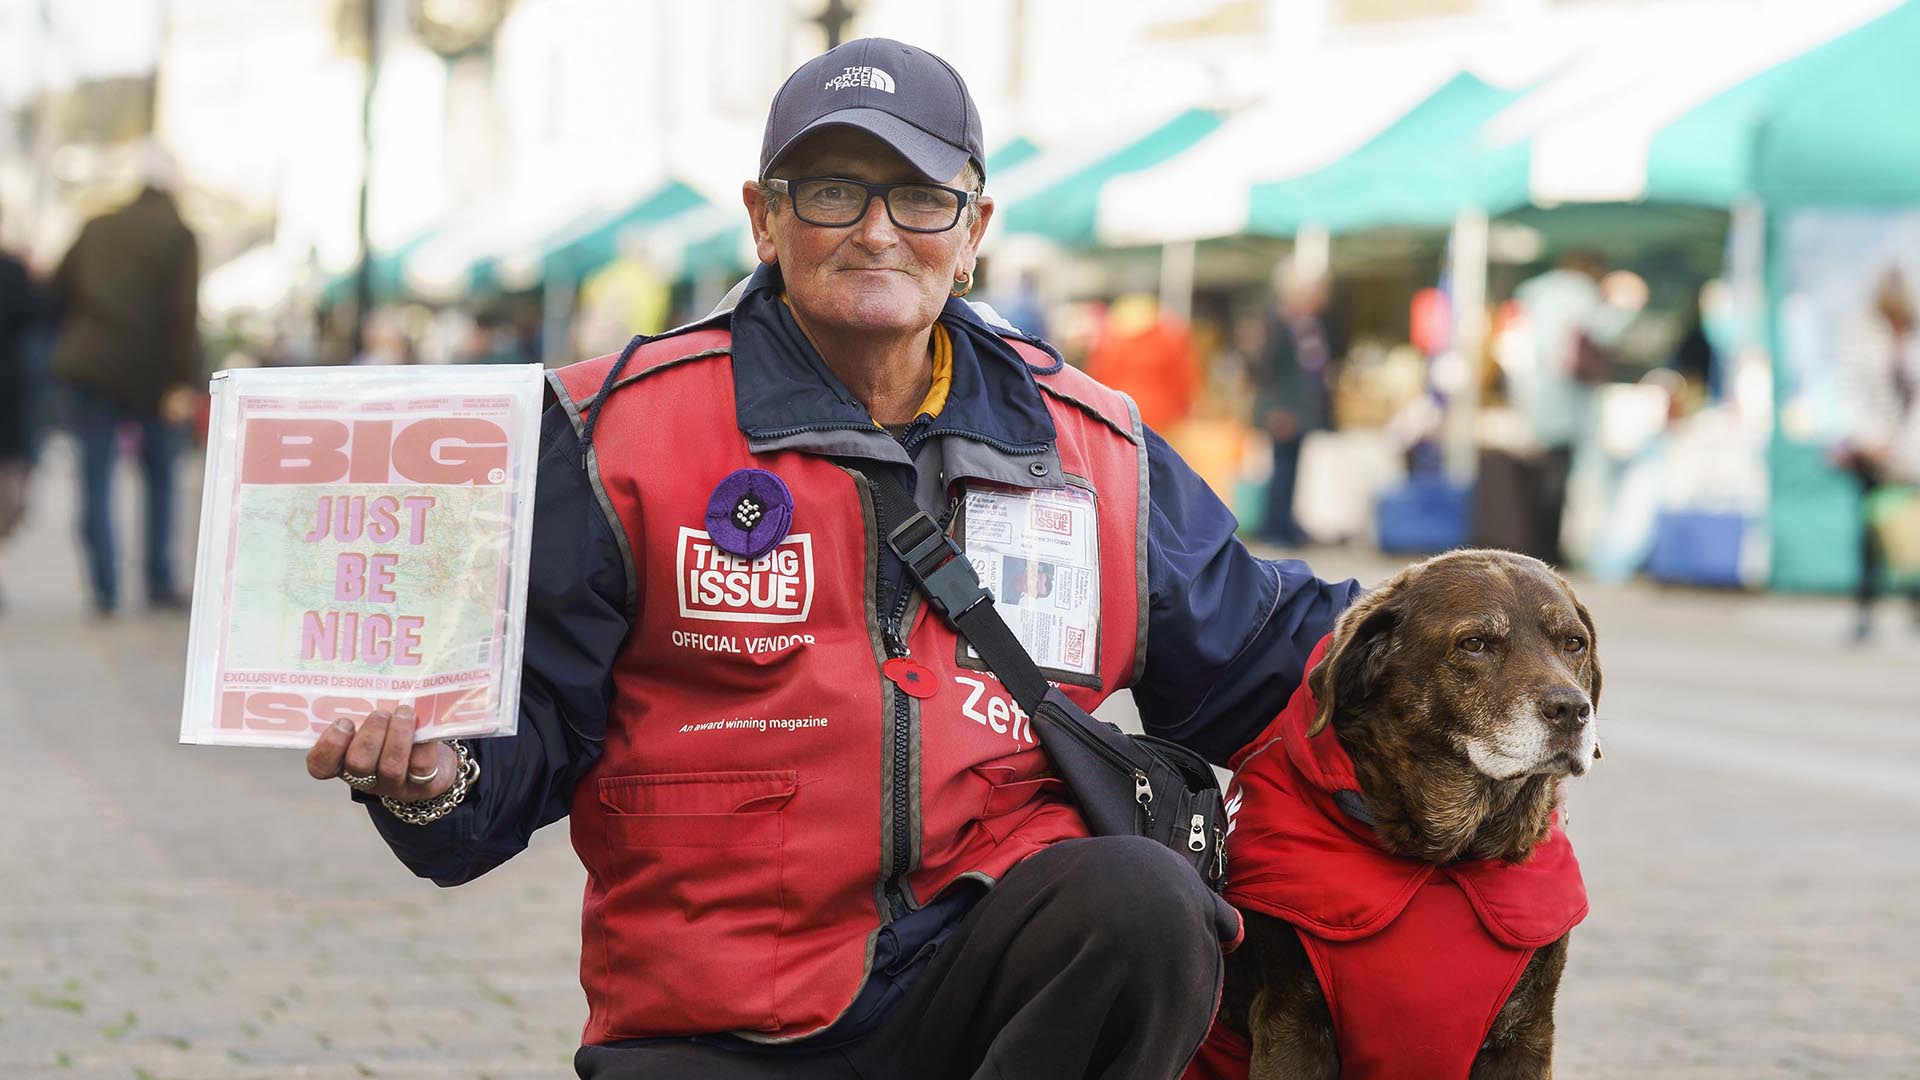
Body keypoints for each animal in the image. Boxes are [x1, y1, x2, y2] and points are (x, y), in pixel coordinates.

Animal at [1213, 549, 1605, 1076]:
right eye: (1474, 644)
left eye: (1573, 643)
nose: (1572, 710)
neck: (1446, 858)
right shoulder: (1291, 1022)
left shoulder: (1526, 1035)